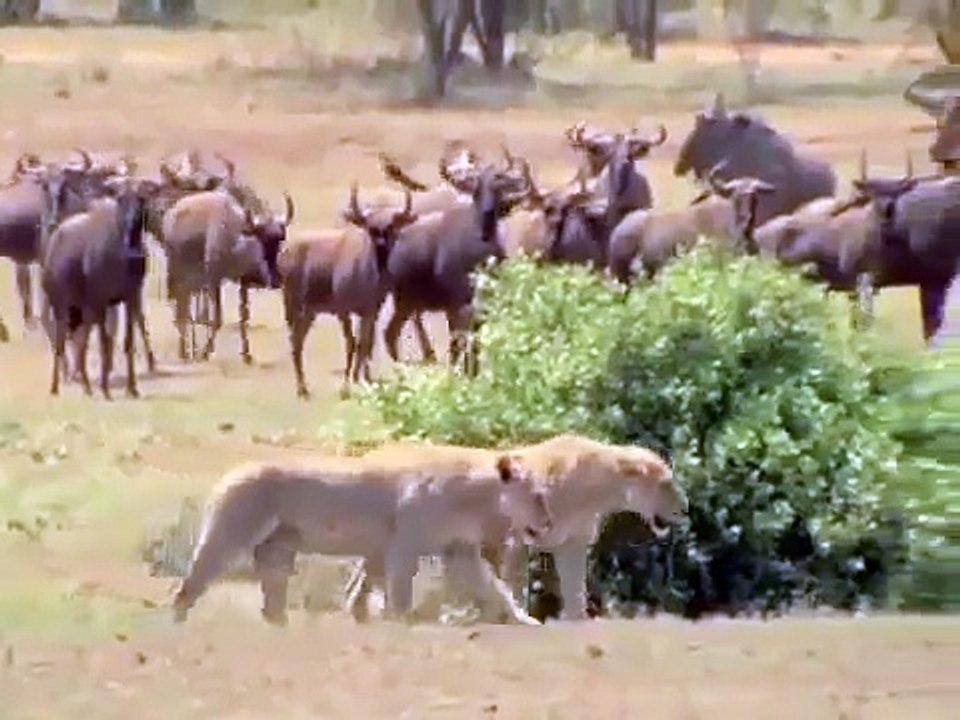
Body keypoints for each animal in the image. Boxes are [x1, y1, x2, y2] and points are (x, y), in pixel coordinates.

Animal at [170, 449, 554, 627]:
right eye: (537, 496)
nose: (548, 523)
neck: (477, 498)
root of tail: (228, 475)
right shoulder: (403, 544)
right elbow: (398, 590)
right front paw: (399, 623)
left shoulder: (460, 550)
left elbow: (495, 588)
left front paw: (526, 621)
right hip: (230, 534)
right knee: (187, 587)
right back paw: (177, 628)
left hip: (277, 548)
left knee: (271, 603)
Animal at [358, 434, 687, 621]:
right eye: (665, 484)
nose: (683, 509)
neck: (599, 488)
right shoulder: (515, 540)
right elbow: (513, 584)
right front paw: (512, 615)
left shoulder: (573, 544)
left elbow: (575, 588)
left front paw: (577, 620)